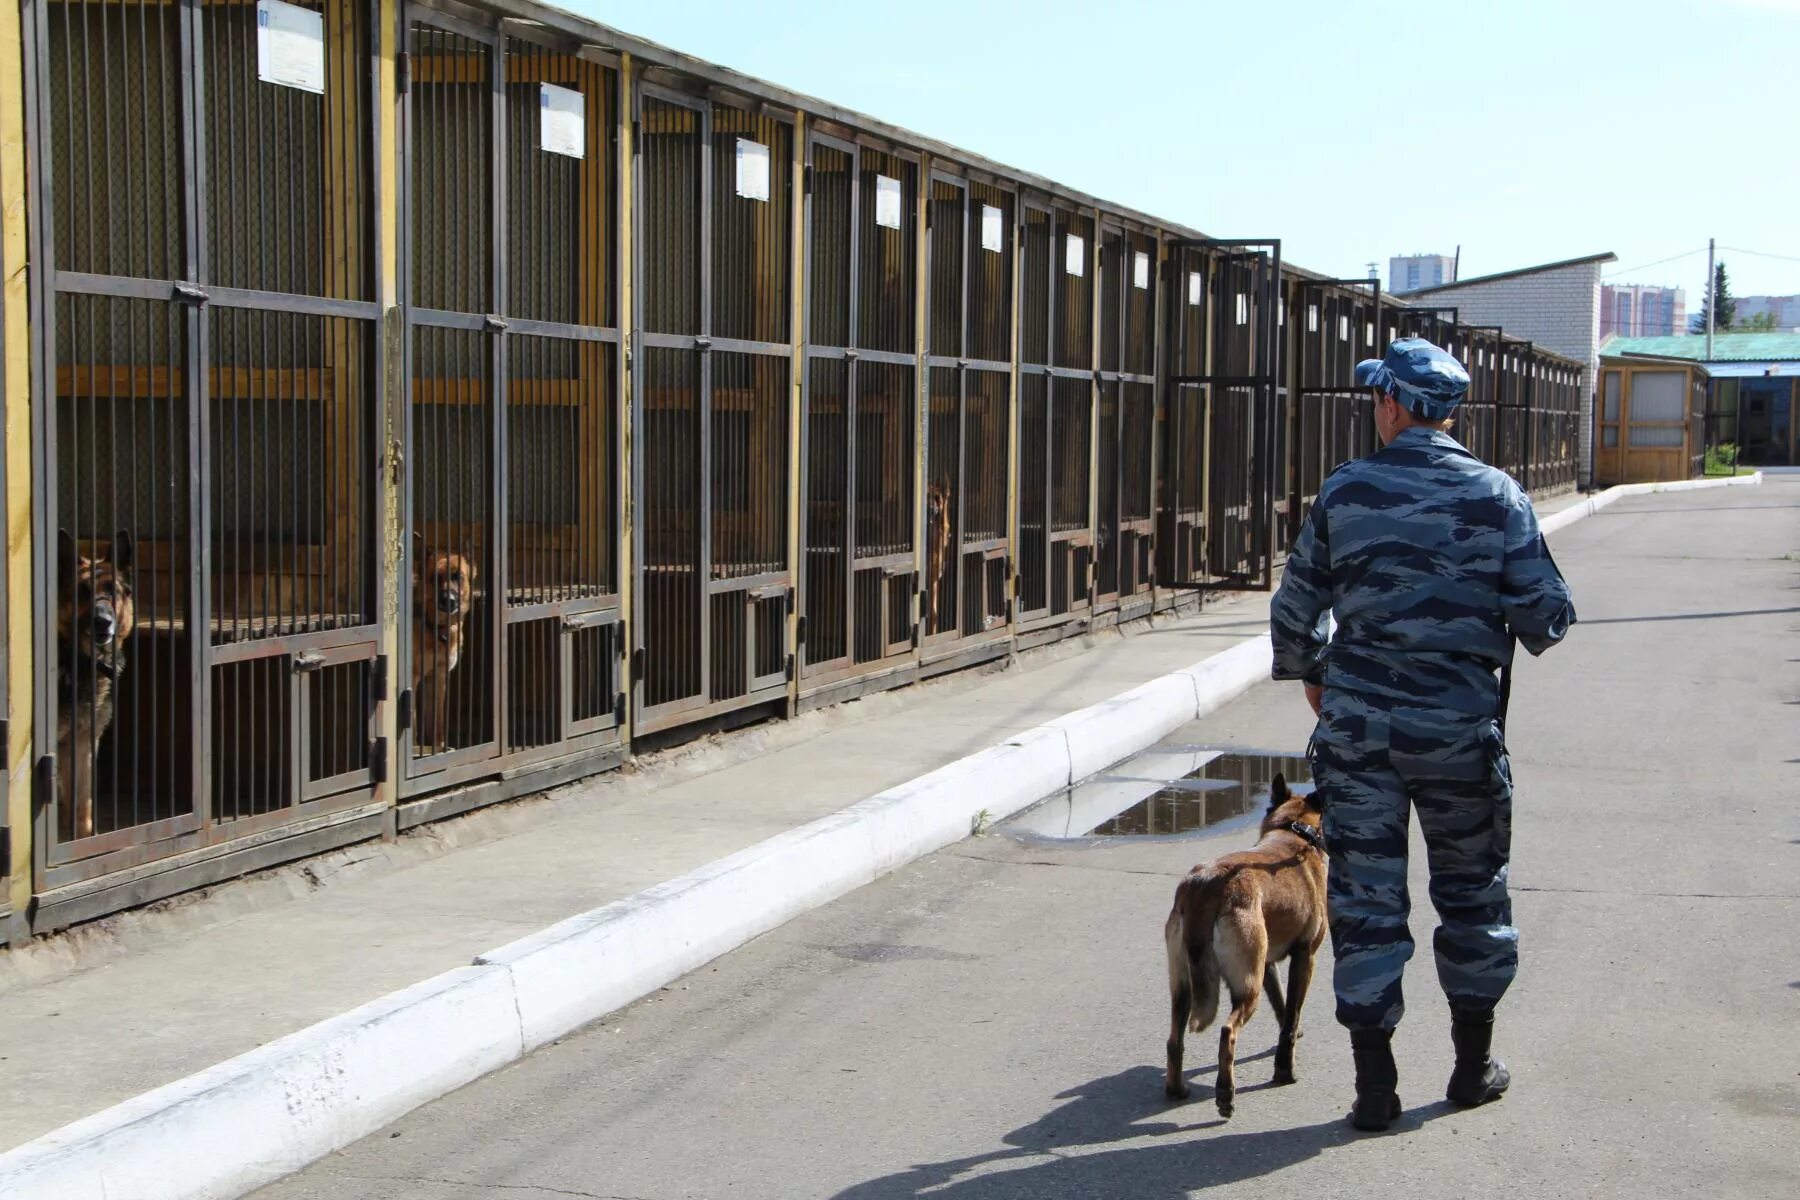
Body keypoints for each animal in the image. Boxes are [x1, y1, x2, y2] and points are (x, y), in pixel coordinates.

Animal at [412, 532, 475, 755]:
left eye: (458, 576)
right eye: (435, 578)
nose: (449, 601)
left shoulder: (438, 677)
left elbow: (437, 719)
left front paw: (438, 749)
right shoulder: (412, 678)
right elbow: (412, 721)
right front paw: (415, 751)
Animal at [1159, 773, 1332, 1122]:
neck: (1294, 833)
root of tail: (1205, 886)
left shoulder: (1268, 966)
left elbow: (1282, 1007)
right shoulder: (1305, 957)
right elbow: (1291, 1015)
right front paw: (1284, 1071)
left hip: (1184, 985)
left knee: (1174, 1039)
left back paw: (1177, 1089)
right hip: (1247, 987)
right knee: (1228, 1032)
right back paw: (1225, 1095)